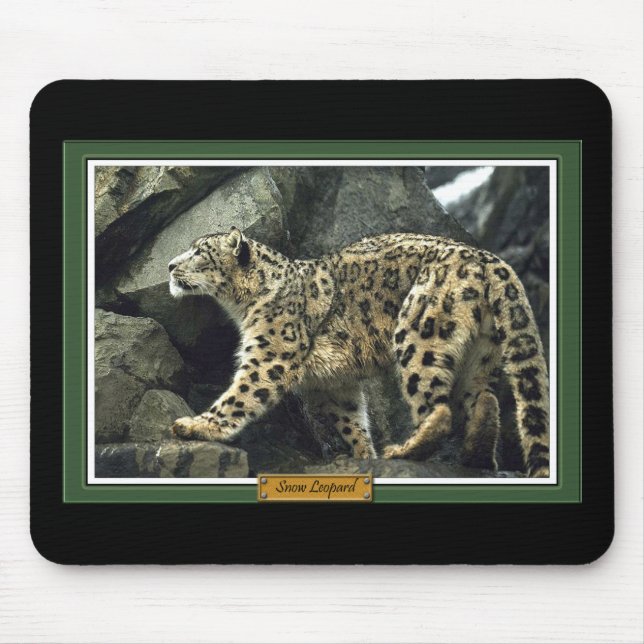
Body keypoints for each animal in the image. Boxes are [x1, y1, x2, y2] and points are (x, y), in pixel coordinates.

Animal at [168, 227, 550, 477]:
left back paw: (405, 450)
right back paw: (475, 456)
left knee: (439, 410)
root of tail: (489, 259)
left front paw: (195, 426)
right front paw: (365, 455)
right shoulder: (337, 383)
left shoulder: (270, 355)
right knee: (484, 400)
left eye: (200, 252)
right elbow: (352, 422)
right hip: (481, 353)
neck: (243, 307)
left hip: (419, 334)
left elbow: (240, 395)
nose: (171, 265)